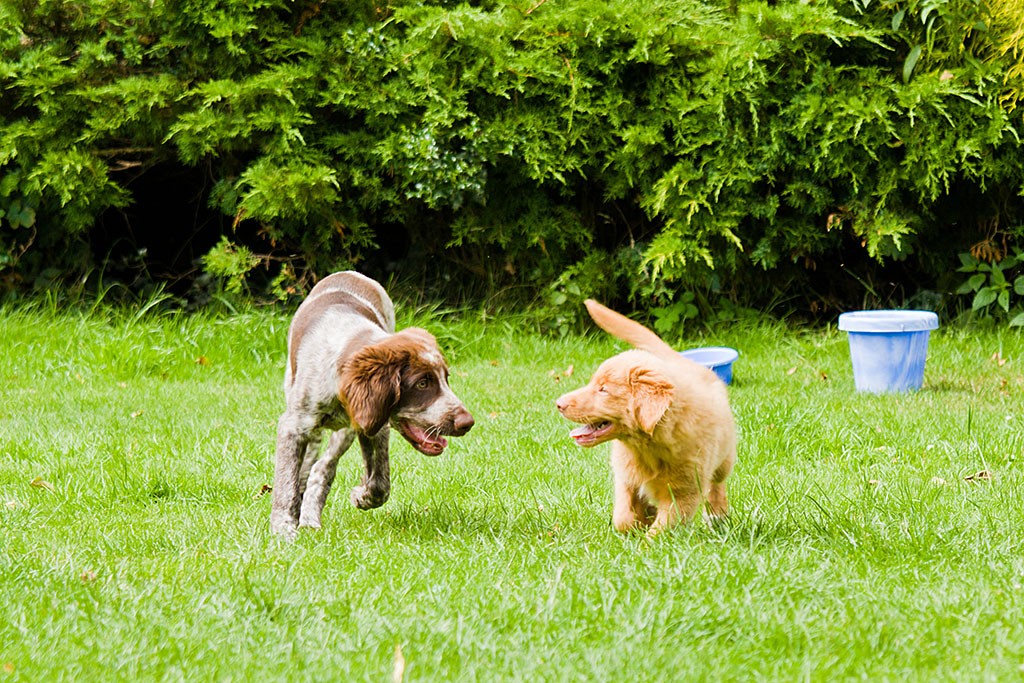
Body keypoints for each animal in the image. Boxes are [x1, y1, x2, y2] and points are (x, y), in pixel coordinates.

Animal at [266, 272, 468, 540]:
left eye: (446, 378)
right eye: (423, 383)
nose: (467, 422)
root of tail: (349, 273)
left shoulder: (374, 422)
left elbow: (380, 482)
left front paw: (361, 497)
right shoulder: (293, 426)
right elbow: (285, 482)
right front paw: (283, 529)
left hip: (346, 431)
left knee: (323, 467)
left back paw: (310, 517)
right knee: (307, 466)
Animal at [557, 301, 733, 536]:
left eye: (603, 389)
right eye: (593, 383)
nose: (559, 403)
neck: (647, 447)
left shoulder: (684, 493)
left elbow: (660, 531)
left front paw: (647, 539)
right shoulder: (625, 478)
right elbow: (622, 517)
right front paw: (641, 519)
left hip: (725, 457)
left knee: (717, 484)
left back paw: (717, 515)